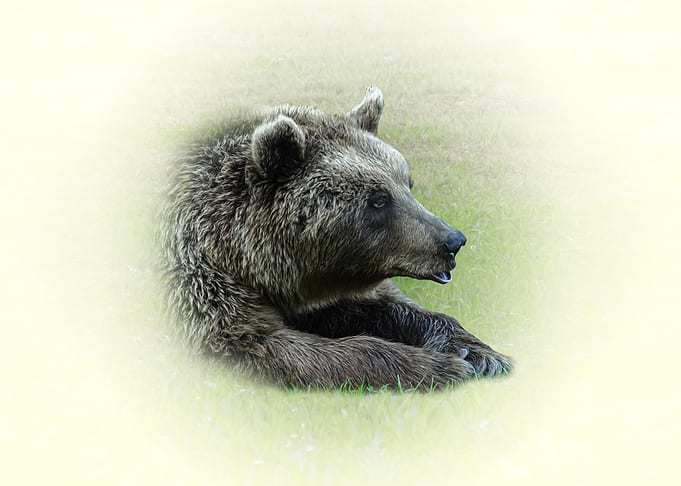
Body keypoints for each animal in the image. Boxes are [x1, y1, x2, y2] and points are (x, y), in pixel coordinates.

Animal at [159, 87, 513, 390]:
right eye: (378, 200)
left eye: (407, 183)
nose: (452, 241)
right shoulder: (200, 281)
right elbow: (256, 345)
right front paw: (441, 366)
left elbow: (382, 307)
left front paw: (480, 354)